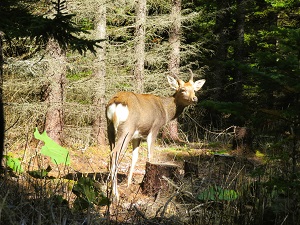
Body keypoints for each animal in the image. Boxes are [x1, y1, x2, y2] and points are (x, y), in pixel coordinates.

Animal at [106, 70, 206, 200]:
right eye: (182, 89)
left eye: (194, 89)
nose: (195, 98)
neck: (165, 111)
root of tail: (116, 103)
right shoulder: (155, 127)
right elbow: (150, 156)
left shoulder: (137, 136)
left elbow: (135, 158)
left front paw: (128, 185)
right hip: (126, 129)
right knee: (115, 153)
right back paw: (115, 195)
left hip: (110, 128)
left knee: (111, 153)